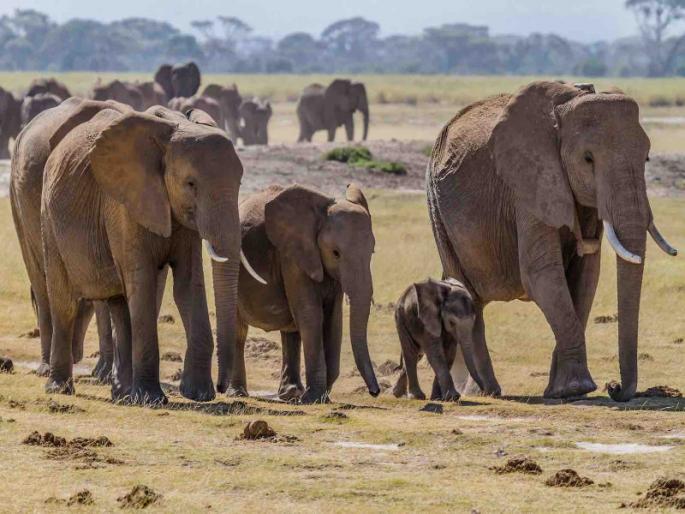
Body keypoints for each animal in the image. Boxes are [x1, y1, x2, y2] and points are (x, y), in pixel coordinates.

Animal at [31, 101, 265, 404]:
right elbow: (141, 280)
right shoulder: (124, 204)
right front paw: (152, 399)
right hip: (48, 217)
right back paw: (60, 388)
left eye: (239, 184)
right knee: (65, 300)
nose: (223, 387)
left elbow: (189, 284)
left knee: (120, 303)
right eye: (191, 184)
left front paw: (199, 394)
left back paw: (121, 394)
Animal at [229, 183, 380, 403]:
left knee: (291, 330)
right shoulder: (293, 256)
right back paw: (238, 392)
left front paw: (319, 397)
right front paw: (313, 398)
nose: (374, 392)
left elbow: (333, 319)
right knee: (239, 330)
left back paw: (290, 394)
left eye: (372, 252)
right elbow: (311, 315)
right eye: (335, 253)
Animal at [426, 81, 677, 401]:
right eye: (588, 159)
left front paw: (561, 391)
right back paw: (487, 392)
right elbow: (542, 274)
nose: (614, 387)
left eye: (646, 157)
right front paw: (577, 388)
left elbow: (586, 276)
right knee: (467, 293)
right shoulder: (528, 184)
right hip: (437, 207)